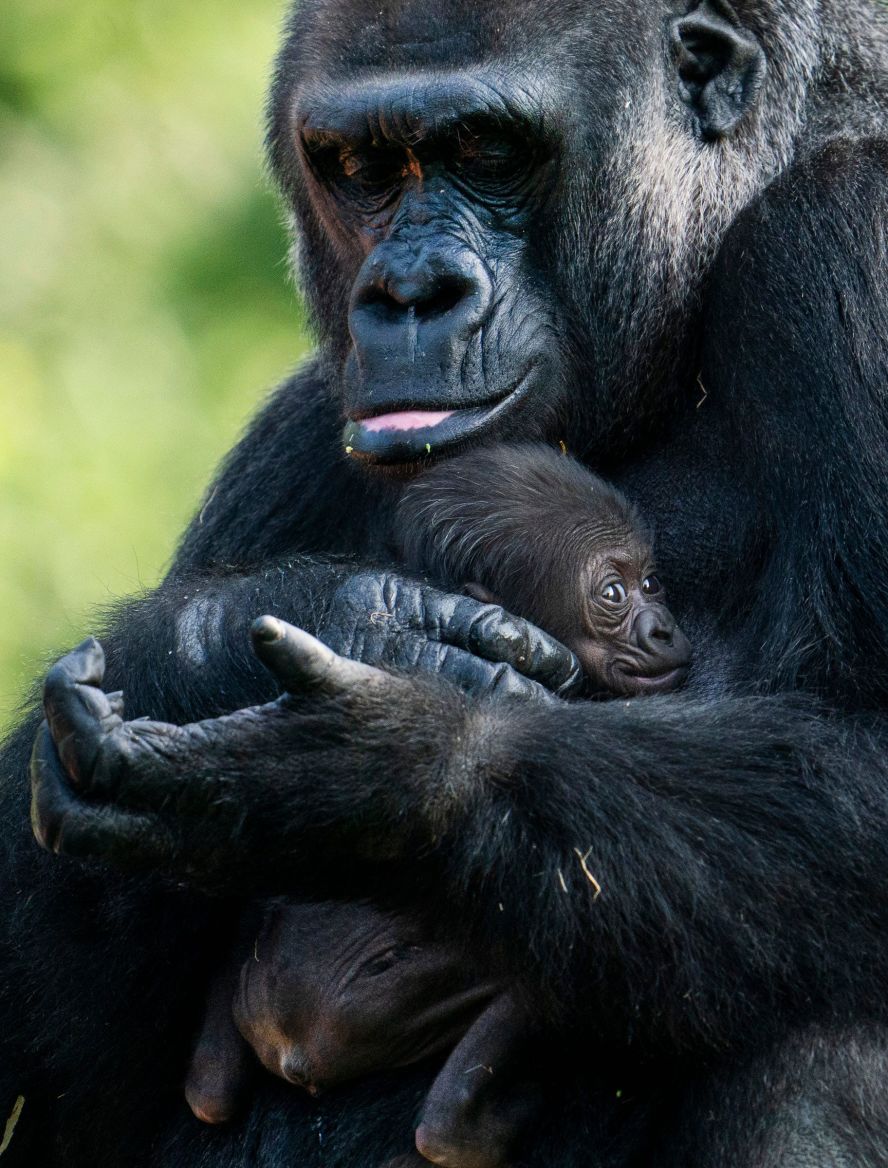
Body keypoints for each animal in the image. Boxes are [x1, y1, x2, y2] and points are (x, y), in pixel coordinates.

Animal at [186, 441, 691, 1163]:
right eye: (615, 593)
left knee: (211, 1085)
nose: (665, 630)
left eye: (652, 583)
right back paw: (467, 1130)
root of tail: (288, 1043)